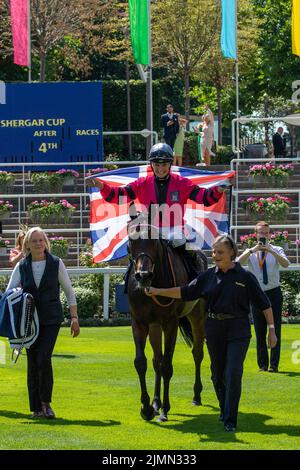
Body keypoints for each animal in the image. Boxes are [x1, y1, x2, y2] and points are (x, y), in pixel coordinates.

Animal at [127, 215, 209, 420]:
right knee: (157, 359)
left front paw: (165, 409)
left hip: (197, 317)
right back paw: (156, 402)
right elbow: (141, 362)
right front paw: (146, 407)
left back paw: (196, 395)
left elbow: (167, 365)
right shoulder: (139, 322)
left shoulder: (170, 323)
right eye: (131, 240)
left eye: (155, 241)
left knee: (197, 353)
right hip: (155, 326)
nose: (143, 275)